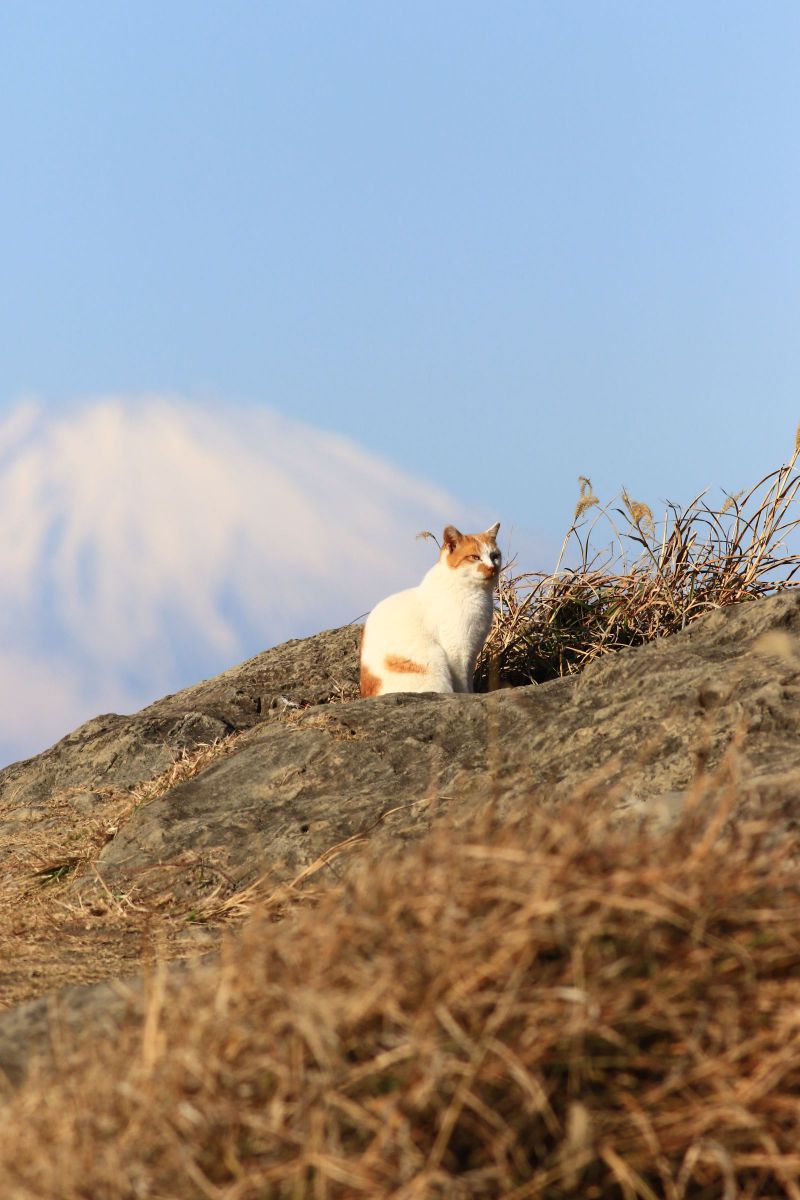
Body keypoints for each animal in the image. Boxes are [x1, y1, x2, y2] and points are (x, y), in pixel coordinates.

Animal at [362, 520, 501, 700]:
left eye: (495, 556)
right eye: (475, 557)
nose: (492, 568)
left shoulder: (472, 652)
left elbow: (469, 681)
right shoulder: (458, 651)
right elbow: (462, 684)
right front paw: (467, 696)